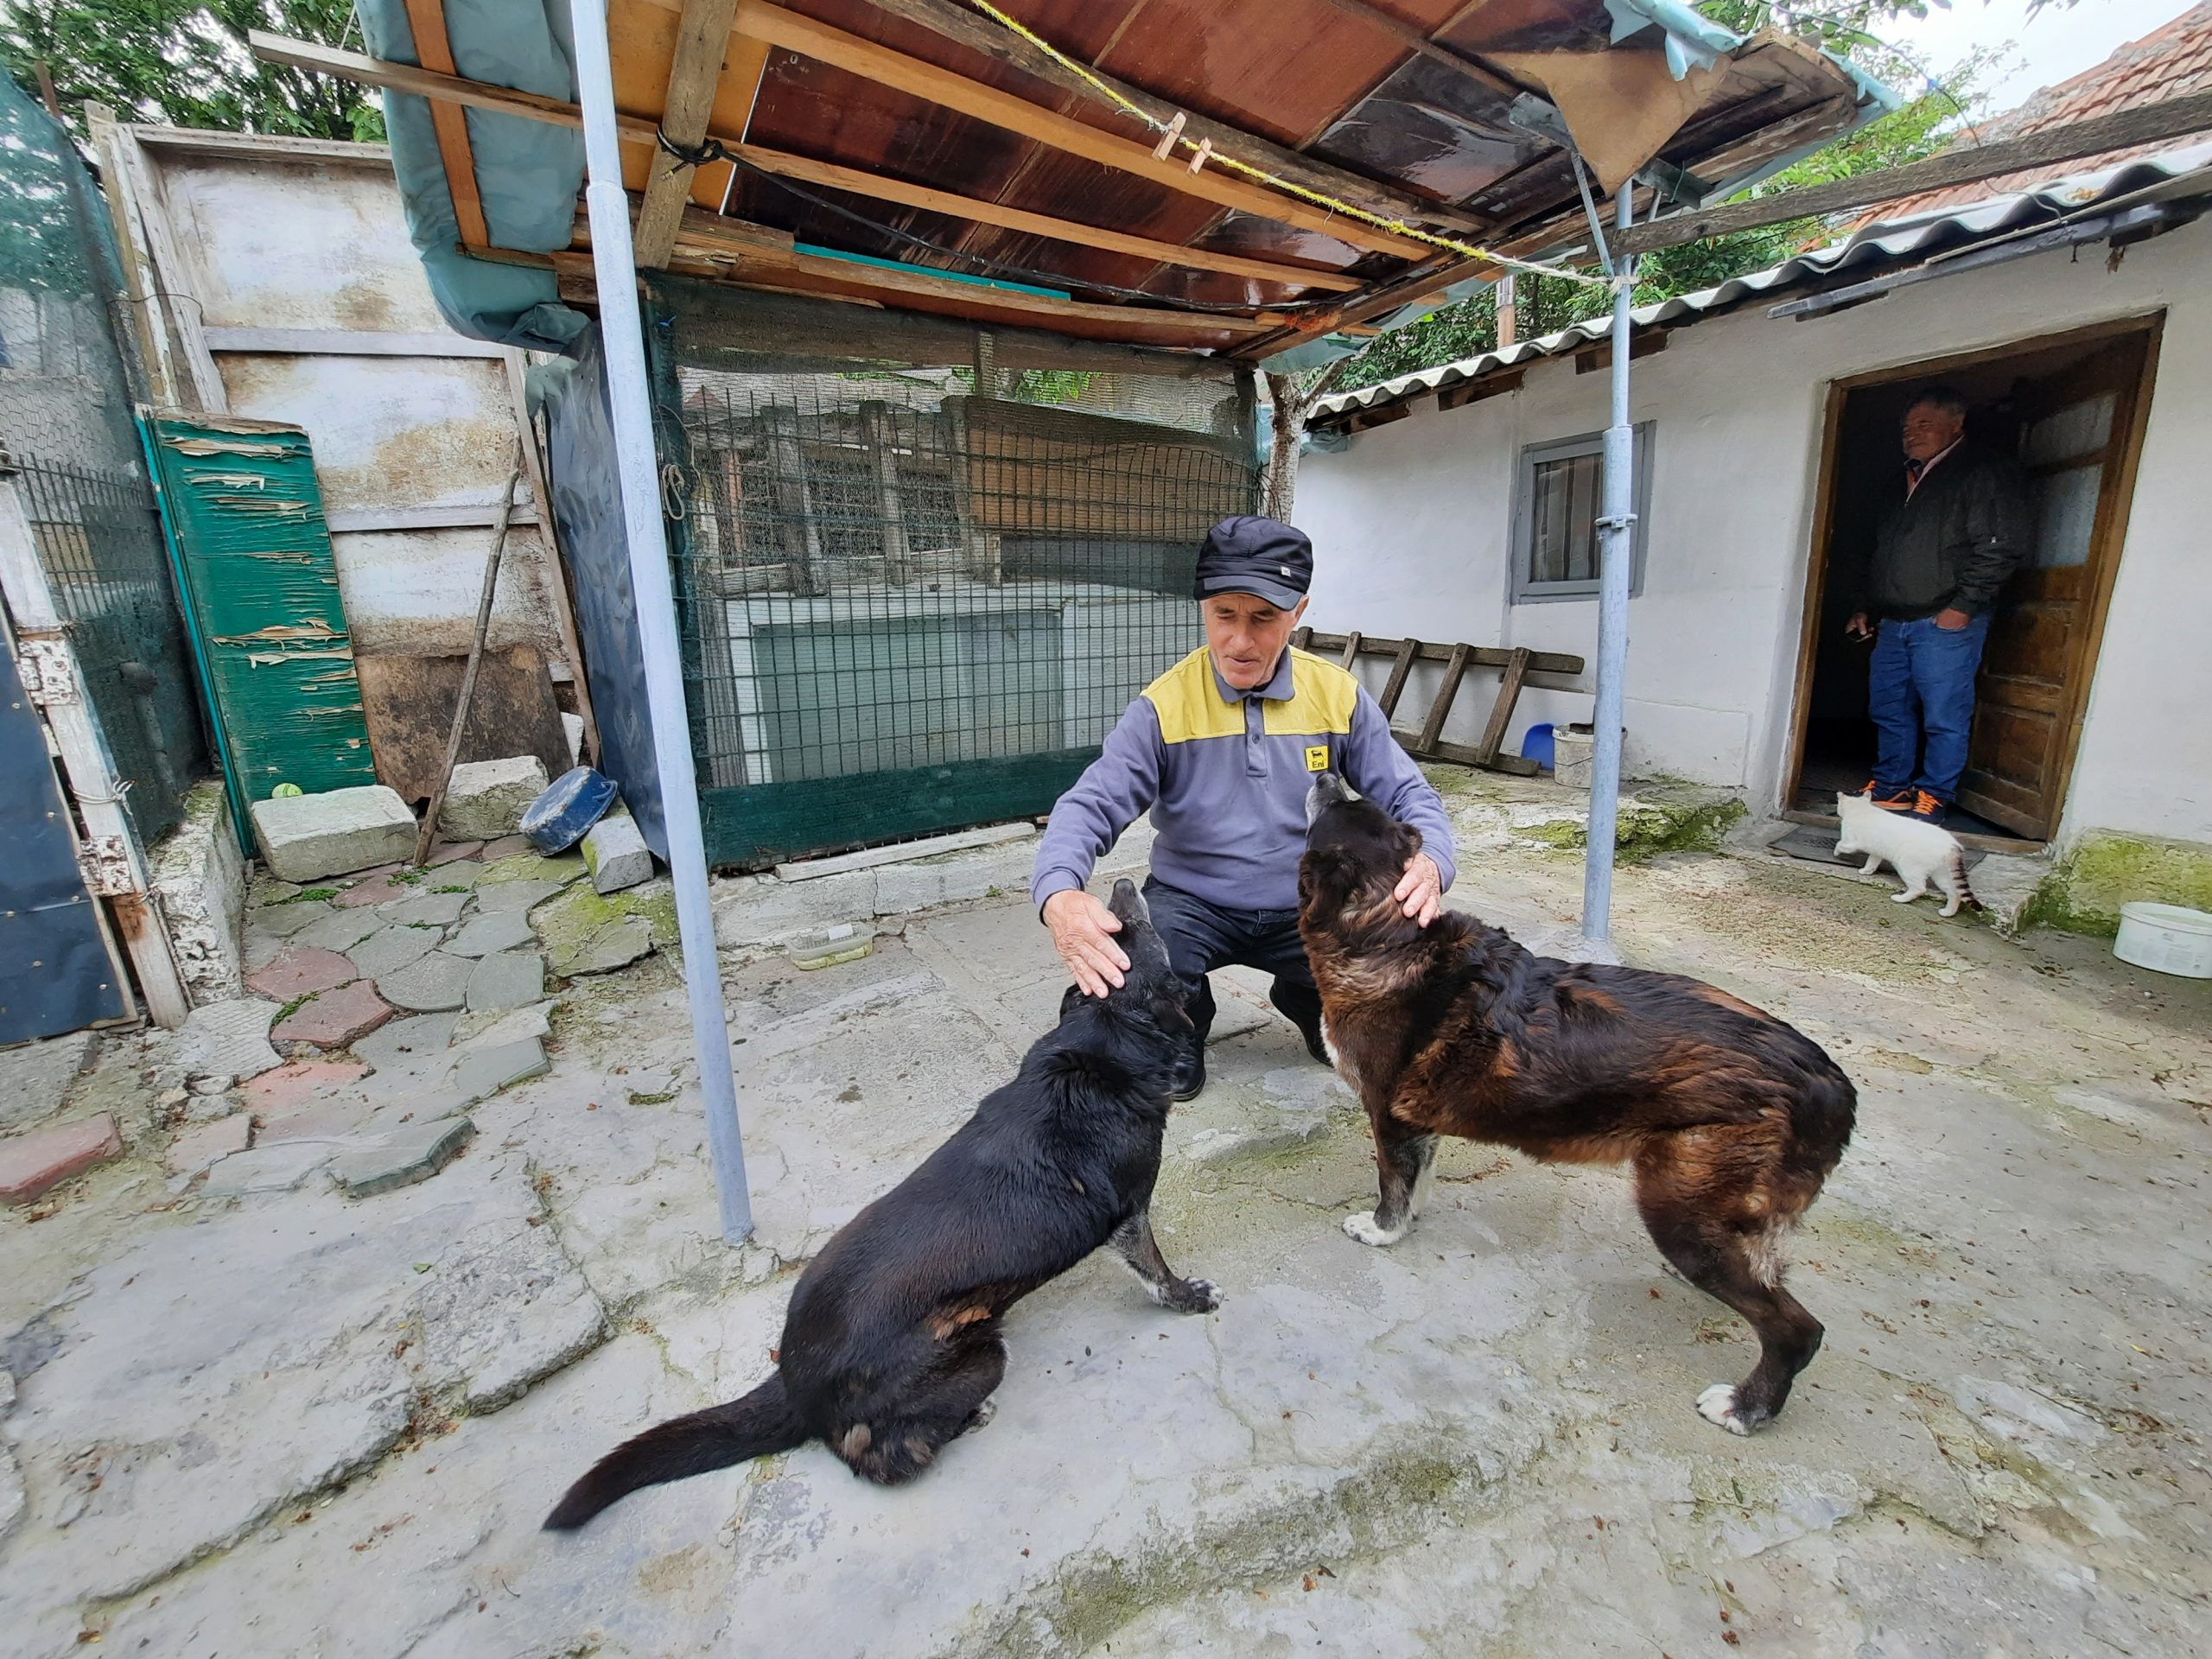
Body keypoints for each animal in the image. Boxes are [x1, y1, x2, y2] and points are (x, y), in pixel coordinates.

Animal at [543, 885, 1221, 1530]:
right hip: (981, 1355)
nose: (1125, 881)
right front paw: (1191, 1298)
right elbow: (1156, 1271)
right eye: (1133, 932)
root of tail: (795, 1380)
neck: (1103, 1039)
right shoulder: (1131, 1213)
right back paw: (965, 1418)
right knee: (880, 1459)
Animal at [1840, 796, 1981, 925]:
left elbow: (1841, 845)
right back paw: (1948, 912)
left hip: (1908, 867)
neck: (1862, 809)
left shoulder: (1852, 841)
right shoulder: (1876, 852)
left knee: (1919, 888)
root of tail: (1952, 845)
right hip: (1942, 874)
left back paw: (1901, 898)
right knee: (1954, 892)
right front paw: (1866, 871)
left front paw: (1837, 852)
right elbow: (1872, 862)